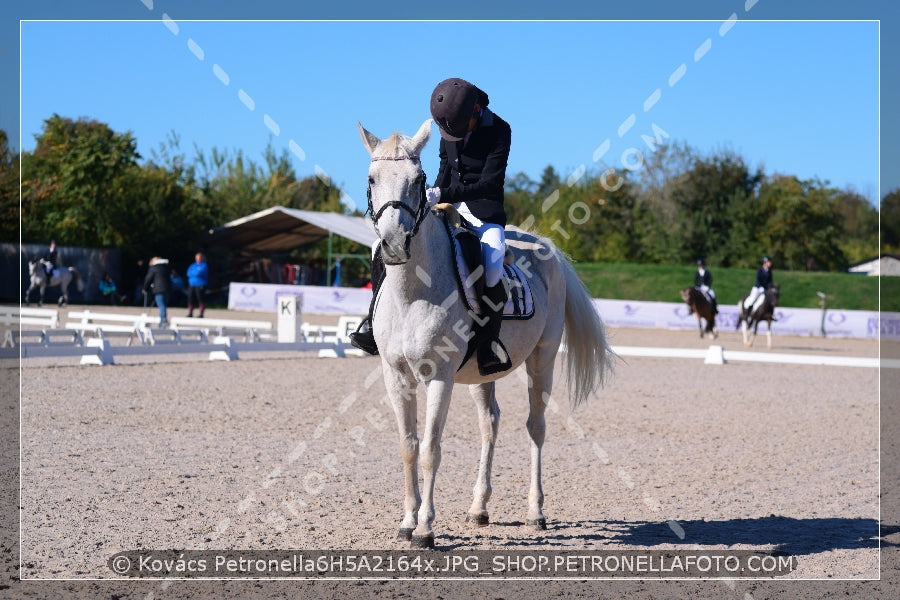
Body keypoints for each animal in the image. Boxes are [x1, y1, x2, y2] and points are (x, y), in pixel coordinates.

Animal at [360, 120, 620, 548]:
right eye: (371, 178)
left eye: (419, 180)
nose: (394, 245)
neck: (413, 293)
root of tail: (547, 248)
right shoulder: (395, 376)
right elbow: (408, 447)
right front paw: (407, 521)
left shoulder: (440, 377)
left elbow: (431, 449)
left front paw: (425, 530)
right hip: (482, 374)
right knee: (490, 424)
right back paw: (479, 509)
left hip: (542, 360)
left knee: (536, 428)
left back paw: (536, 513)